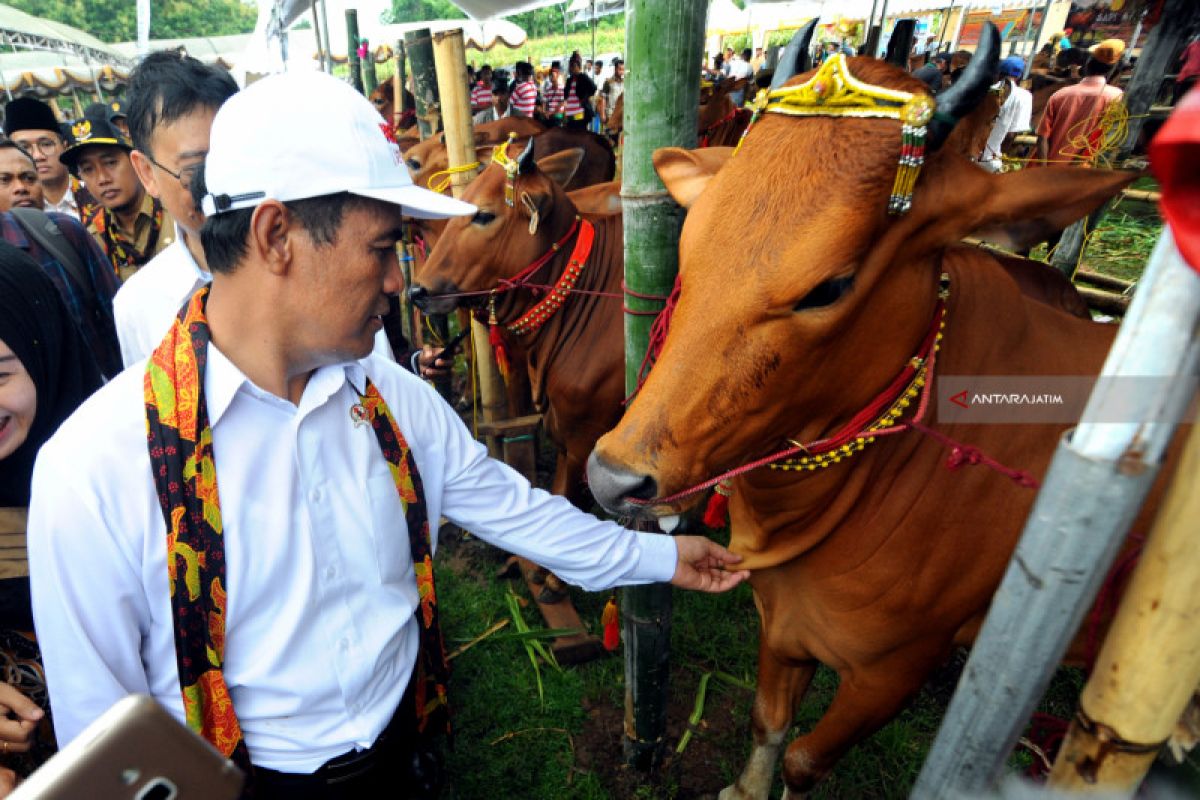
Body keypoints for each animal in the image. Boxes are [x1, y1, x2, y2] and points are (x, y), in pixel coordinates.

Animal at [585, 28, 1147, 796]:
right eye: (689, 240)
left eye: (831, 286)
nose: (614, 478)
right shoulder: (782, 625)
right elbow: (767, 725)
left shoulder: (891, 674)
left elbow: (802, 757)